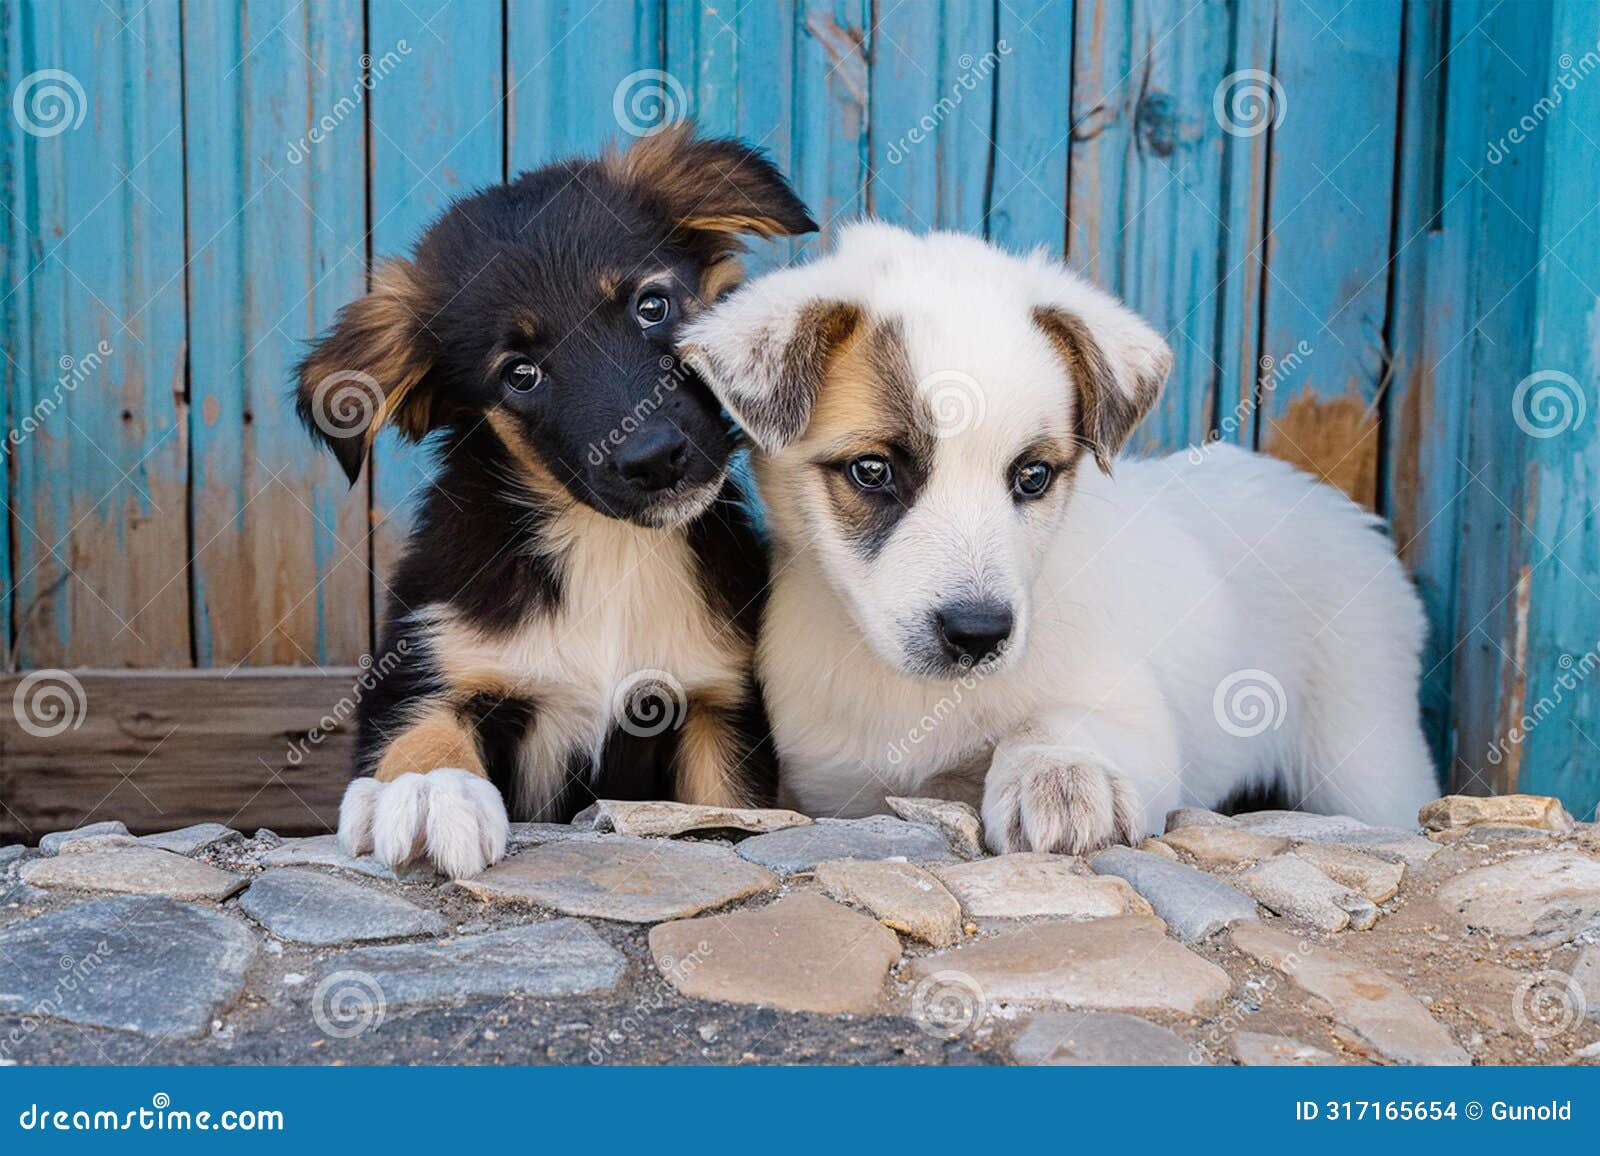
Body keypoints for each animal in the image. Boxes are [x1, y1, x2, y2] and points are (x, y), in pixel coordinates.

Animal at [294, 126, 812, 871]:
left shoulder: (718, 704)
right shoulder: (423, 657)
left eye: (651, 305)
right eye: (521, 374)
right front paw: (428, 788)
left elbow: (730, 807)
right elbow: (422, 723)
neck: (611, 545)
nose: (654, 458)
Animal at [678, 220, 1440, 851]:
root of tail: (1338, 504)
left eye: (1033, 476)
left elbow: (1055, 721)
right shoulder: (830, 787)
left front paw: (1065, 776)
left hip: (1367, 753)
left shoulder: (1135, 716)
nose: (979, 634)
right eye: (872, 471)